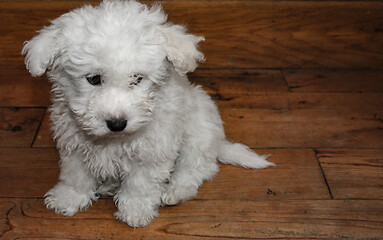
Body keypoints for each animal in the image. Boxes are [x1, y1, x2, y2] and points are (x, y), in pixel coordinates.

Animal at [21, 0, 272, 228]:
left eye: (137, 79)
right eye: (93, 79)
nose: (117, 123)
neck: (114, 140)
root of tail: (218, 144)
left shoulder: (153, 150)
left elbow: (140, 184)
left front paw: (136, 209)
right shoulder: (74, 146)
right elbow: (75, 175)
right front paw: (68, 198)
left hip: (198, 135)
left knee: (197, 168)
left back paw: (176, 191)